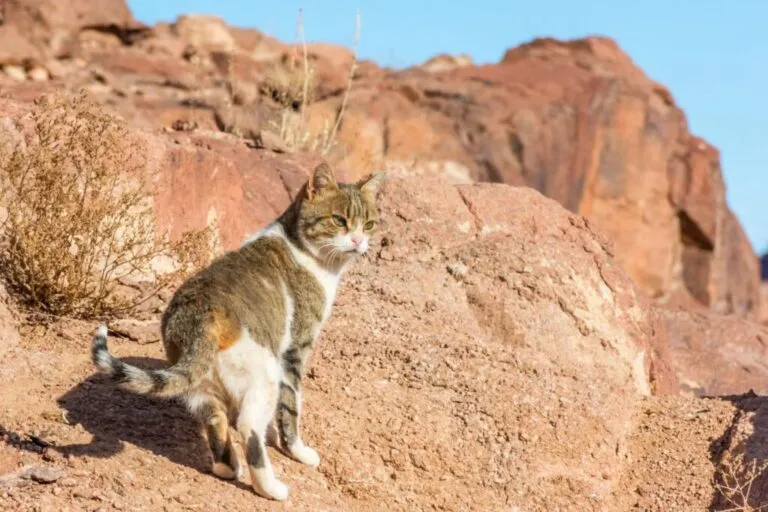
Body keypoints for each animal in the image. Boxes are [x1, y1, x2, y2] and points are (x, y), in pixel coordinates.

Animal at [90, 163, 384, 500]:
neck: (302, 249)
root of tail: (201, 315)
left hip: (201, 385)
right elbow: (291, 407)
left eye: (369, 224)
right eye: (339, 220)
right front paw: (297, 451)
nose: (359, 242)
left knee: (214, 419)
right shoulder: (295, 350)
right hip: (265, 372)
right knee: (248, 427)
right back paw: (270, 488)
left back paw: (227, 468)